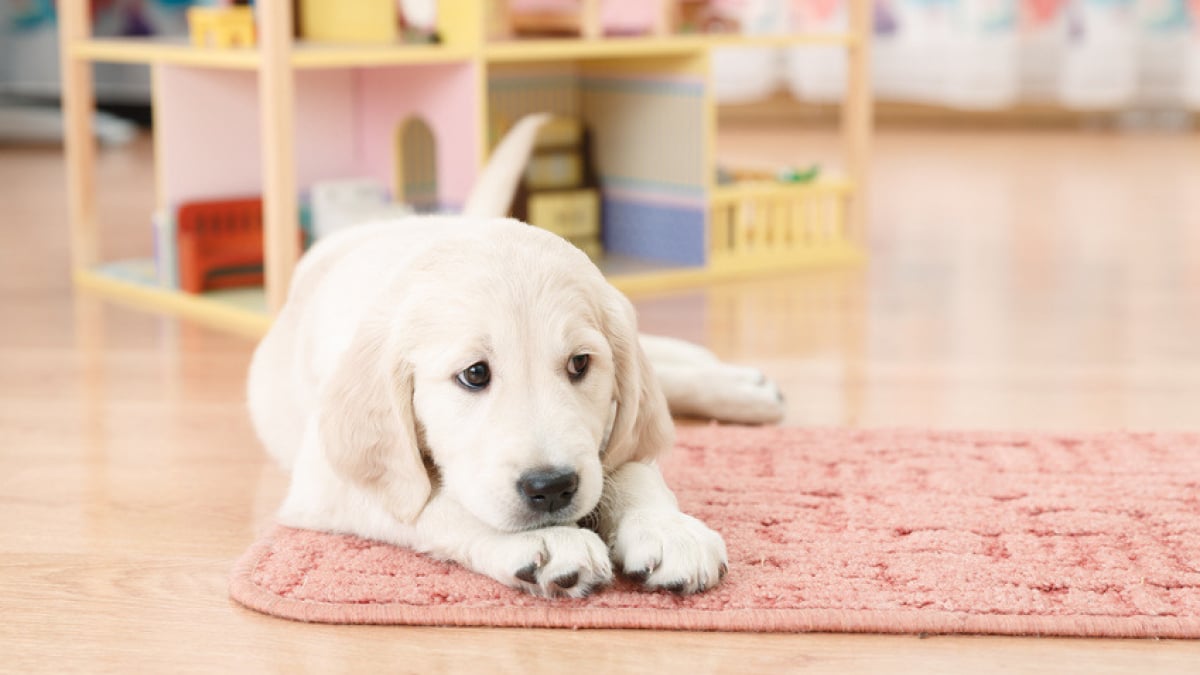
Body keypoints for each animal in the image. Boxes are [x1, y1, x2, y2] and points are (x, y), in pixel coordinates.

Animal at [248, 114, 782, 593]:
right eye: (474, 374)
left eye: (580, 363)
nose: (551, 487)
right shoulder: (330, 483)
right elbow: (440, 505)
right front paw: (545, 542)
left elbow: (632, 465)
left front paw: (668, 530)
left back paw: (740, 386)